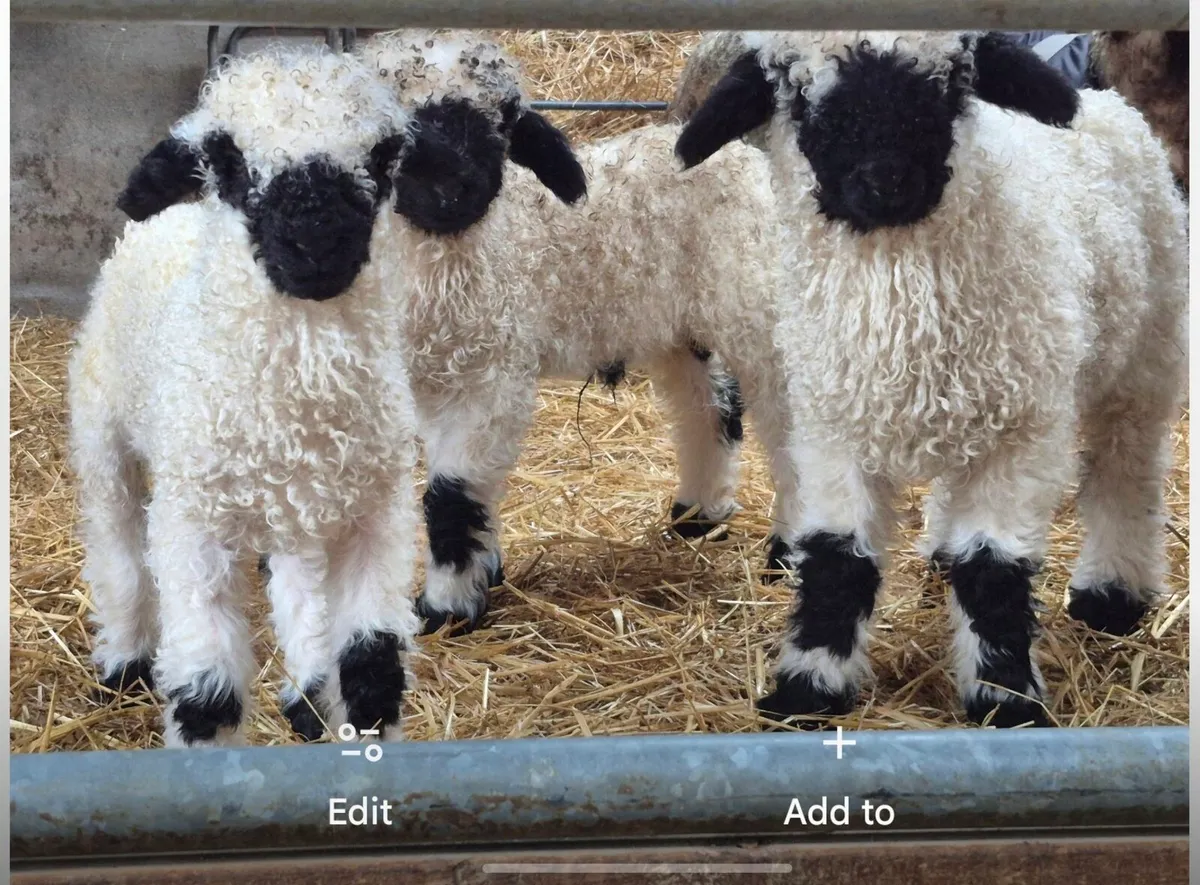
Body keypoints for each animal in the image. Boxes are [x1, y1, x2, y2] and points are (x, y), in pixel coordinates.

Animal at [69, 45, 457, 746]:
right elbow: (206, 694)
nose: (317, 241)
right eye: (228, 160)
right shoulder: (193, 527)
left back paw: (304, 693)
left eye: (384, 155)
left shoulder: (376, 516)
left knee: (298, 586)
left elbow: (372, 669)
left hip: (299, 513)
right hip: (103, 432)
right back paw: (123, 658)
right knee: (118, 549)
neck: (296, 406)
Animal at [354, 31, 798, 635]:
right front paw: (487, 570)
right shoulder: (430, 380)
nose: (455, 191)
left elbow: (452, 497)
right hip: (680, 327)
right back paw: (698, 514)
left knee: (792, 433)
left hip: (760, 312)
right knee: (710, 408)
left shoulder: (489, 375)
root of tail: (747, 157)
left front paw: (447, 608)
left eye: (505, 120)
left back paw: (787, 553)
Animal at [676, 31, 1189, 728]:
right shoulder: (835, 431)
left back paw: (1113, 594)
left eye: (951, 84)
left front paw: (1005, 698)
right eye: (800, 97)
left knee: (1126, 469)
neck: (904, 320)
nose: (887, 180)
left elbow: (993, 570)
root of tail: (1111, 103)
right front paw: (807, 689)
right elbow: (837, 561)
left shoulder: (1020, 436)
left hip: (1143, 359)